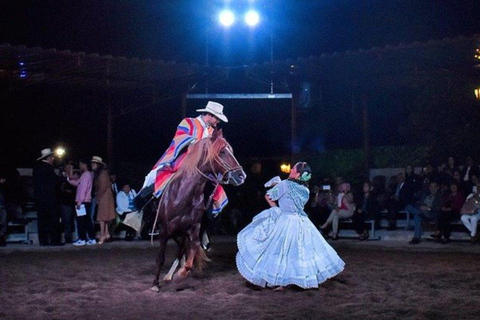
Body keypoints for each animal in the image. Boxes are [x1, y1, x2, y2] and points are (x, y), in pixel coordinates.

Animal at [152, 128, 246, 290]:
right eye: (222, 151)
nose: (241, 176)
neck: (182, 195)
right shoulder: (164, 230)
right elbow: (160, 257)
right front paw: (155, 284)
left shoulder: (194, 228)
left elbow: (193, 249)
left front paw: (181, 274)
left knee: (182, 249)